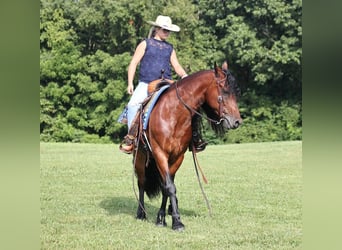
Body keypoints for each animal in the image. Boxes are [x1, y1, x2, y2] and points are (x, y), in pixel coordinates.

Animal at [132, 61, 242, 231]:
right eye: (224, 92)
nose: (237, 121)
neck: (173, 114)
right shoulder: (159, 153)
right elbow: (169, 187)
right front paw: (177, 222)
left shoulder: (178, 156)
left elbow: (167, 187)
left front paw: (162, 218)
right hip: (140, 157)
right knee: (142, 182)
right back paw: (141, 213)